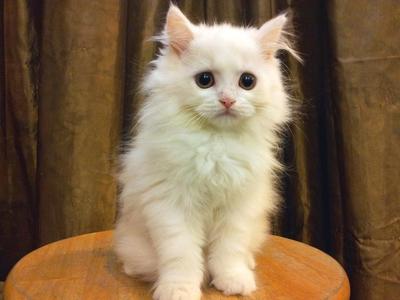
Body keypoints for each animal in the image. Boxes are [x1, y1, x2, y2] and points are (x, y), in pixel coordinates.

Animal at [114, 4, 298, 300]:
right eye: (204, 80)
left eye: (247, 81)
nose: (227, 100)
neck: (216, 144)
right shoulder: (172, 205)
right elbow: (182, 255)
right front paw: (179, 289)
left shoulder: (239, 207)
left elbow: (229, 250)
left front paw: (233, 281)